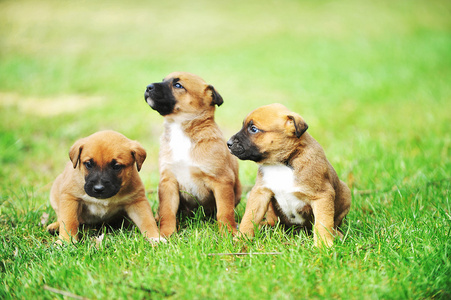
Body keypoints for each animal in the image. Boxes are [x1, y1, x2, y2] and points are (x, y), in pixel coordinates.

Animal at [145, 72, 244, 237]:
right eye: (164, 80)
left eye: (178, 85)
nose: (148, 87)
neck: (181, 130)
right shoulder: (168, 181)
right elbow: (167, 212)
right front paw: (166, 233)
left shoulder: (221, 180)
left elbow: (224, 212)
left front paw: (228, 232)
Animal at [228, 104, 352, 247]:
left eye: (253, 129)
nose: (228, 143)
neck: (282, 163)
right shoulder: (260, 193)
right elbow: (249, 217)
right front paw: (241, 239)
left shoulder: (322, 196)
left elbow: (323, 223)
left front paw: (323, 245)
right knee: (273, 221)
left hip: (345, 193)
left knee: (334, 222)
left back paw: (337, 233)